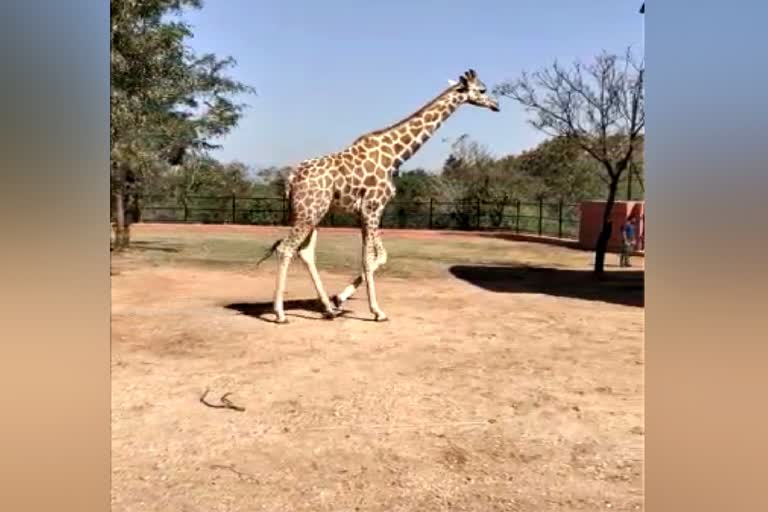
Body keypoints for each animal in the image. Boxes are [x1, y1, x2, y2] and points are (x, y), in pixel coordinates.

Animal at [256, 69, 498, 322]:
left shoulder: (365, 211)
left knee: (305, 252)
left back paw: (328, 309)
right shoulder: (373, 207)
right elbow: (373, 258)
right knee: (285, 248)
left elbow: (375, 257)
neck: (395, 155)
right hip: (308, 213)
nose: (496, 105)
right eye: (482, 90)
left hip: (312, 213)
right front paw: (377, 311)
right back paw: (280, 313)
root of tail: (291, 179)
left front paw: (339, 299)